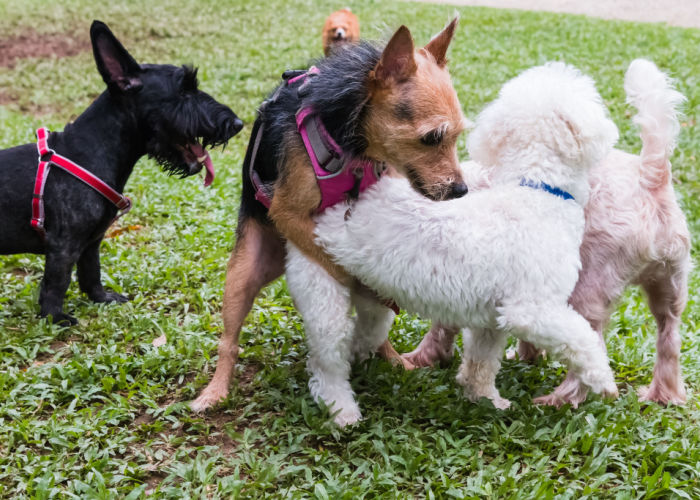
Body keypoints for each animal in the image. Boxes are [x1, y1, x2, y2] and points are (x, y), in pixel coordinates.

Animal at [0, 20, 243, 324]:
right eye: (184, 91)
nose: (237, 123)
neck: (89, 149)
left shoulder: (91, 243)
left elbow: (91, 272)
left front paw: (101, 298)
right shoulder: (63, 245)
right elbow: (57, 282)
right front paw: (55, 317)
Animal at [191, 18, 468, 410]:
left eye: (457, 136)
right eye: (431, 138)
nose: (461, 190)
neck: (354, 146)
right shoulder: (287, 214)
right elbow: (338, 264)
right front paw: (359, 284)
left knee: (378, 333)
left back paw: (392, 358)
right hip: (244, 272)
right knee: (229, 341)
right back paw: (215, 390)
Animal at [284, 60, 616, 424]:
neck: (535, 189)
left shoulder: (492, 319)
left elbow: (482, 360)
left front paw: (483, 397)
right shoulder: (531, 310)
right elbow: (581, 338)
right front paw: (603, 379)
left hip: (373, 299)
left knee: (365, 333)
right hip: (321, 284)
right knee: (326, 363)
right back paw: (341, 408)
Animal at [402, 59, 692, 410]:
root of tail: (651, 178)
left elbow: (443, 326)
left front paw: (421, 358)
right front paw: (526, 355)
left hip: (590, 285)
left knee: (592, 339)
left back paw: (562, 397)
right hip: (670, 286)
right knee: (669, 337)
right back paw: (664, 394)